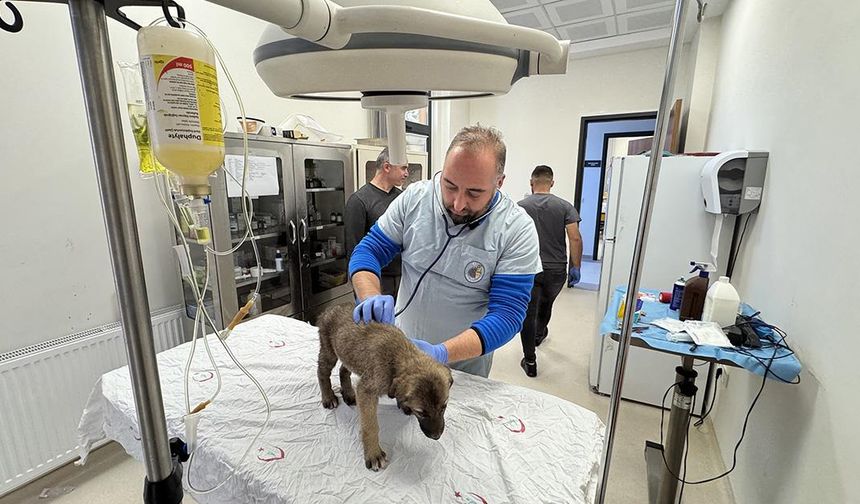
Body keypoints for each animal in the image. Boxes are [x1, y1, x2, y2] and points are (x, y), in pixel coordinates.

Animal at [314, 304, 450, 472]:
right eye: (421, 413)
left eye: (444, 407)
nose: (436, 436)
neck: (399, 357)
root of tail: (331, 308)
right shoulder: (367, 391)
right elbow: (371, 426)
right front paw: (374, 454)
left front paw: (404, 404)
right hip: (329, 350)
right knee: (322, 372)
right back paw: (328, 397)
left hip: (349, 355)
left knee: (343, 370)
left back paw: (349, 394)